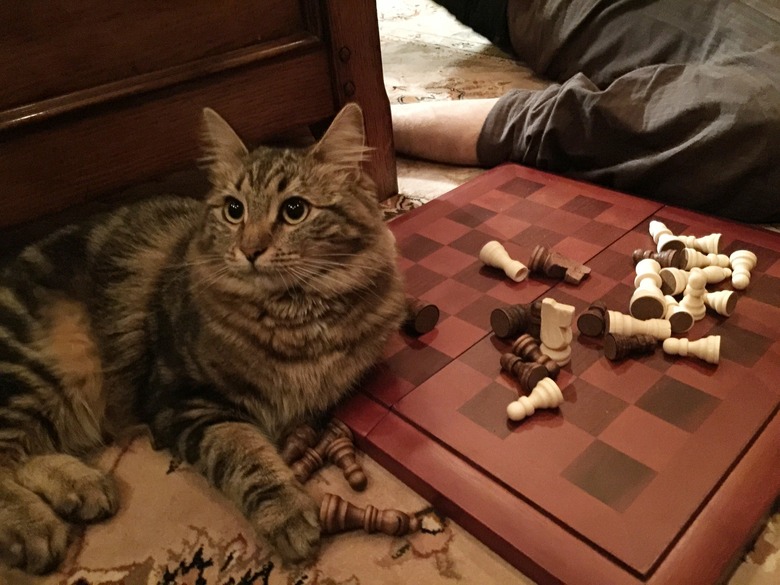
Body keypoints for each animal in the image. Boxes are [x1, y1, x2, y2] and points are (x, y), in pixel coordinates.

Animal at [0, 102, 406, 572]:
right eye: (233, 209)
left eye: (294, 210)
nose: (250, 250)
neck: (292, 317)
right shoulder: (183, 400)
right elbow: (245, 454)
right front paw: (288, 513)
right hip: (44, 368)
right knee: (4, 457)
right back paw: (37, 525)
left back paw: (85, 488)